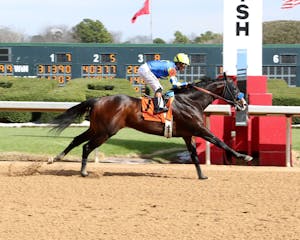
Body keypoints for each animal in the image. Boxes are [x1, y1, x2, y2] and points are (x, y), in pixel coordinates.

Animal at [48, 76, 251, 179]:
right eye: (234, 88)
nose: (243, 104)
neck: (191, 101)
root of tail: (98, 99)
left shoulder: (188, 134)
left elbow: (194, 154)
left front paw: (202, 176)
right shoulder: (199, 129)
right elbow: (220, 142)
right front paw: (244, 156)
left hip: (97, 128)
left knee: (77, 140)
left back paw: (55, 158)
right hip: (106, 131)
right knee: (87, 146)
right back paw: (83, 171)